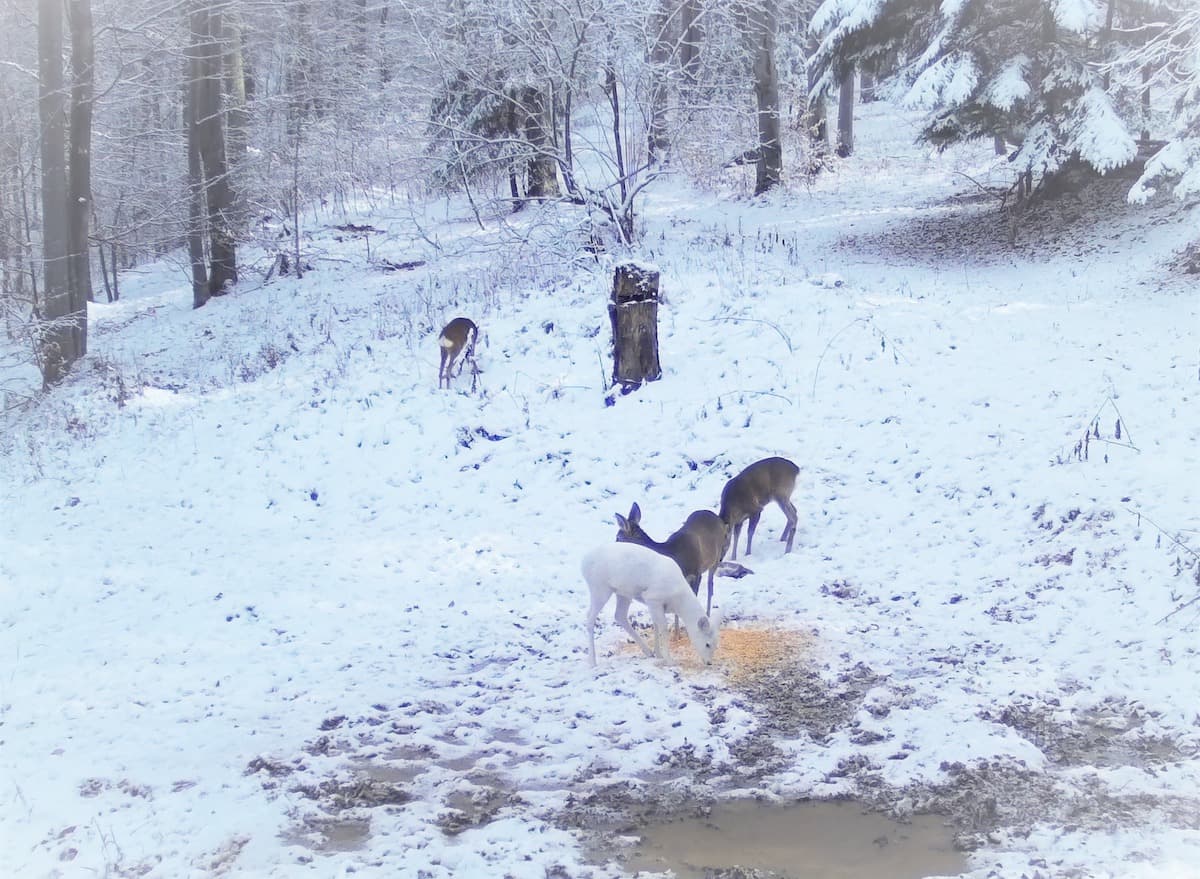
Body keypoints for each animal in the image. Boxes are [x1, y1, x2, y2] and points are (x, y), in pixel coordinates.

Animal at [582, 542, 719, 667]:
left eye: (716, 644)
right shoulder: (653, 598)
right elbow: (663, 627)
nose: (709, 662)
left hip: (623, 593)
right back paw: (592, 661)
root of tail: (582, 563)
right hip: (599, 588)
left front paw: (658, 654)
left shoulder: (655, 605)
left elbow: (656, 625)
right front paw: (669, 660)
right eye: (707, 644)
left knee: (619, 615)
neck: (678, 601)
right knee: (590, 617)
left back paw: (647, 651)